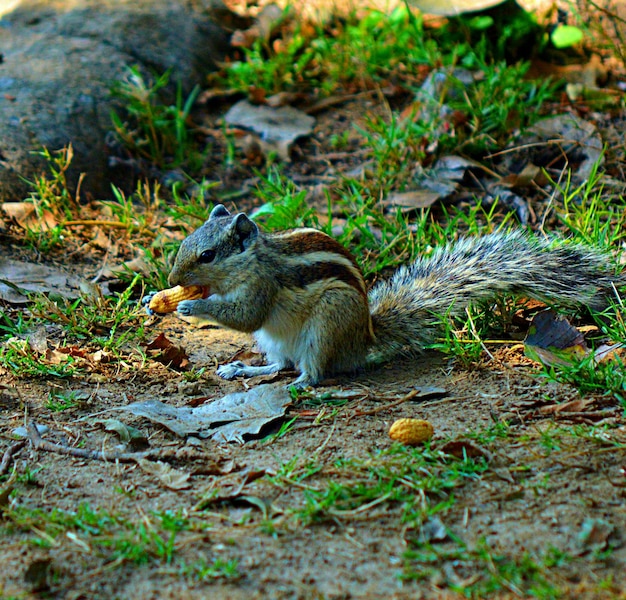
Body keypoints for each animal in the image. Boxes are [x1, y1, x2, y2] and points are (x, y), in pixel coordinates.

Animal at [163, 204, 620, 386]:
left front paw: (189, 305)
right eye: (184, 243)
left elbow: (245, 315)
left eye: (206, 255)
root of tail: (363, 339)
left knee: (311, 369)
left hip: (326, 324)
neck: (254, 258)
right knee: (278, 365)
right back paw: (242, 370)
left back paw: (304, 383)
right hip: (275, 341)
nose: (172, 276)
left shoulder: (263, 287)